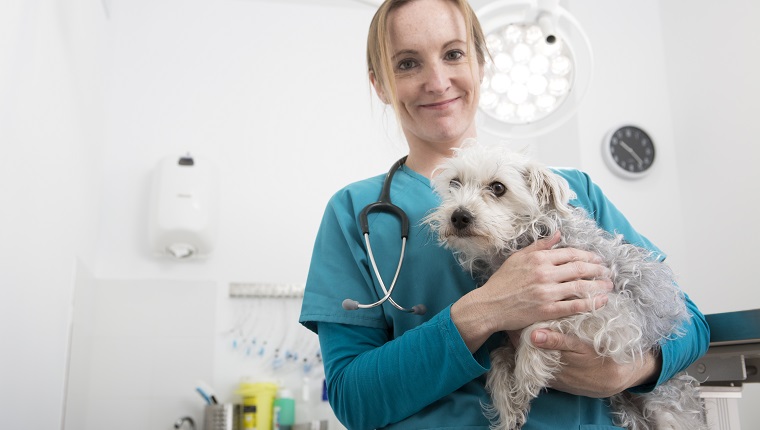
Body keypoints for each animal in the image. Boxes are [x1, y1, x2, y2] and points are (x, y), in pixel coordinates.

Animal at [424, 143, 704, 428]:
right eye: (454, 183)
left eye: (498, 187)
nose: (458, 216)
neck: (528, 236)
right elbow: (498, 358)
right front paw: (509, 406)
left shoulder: (616, 314)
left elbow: (543, 324)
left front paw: (527, 371)